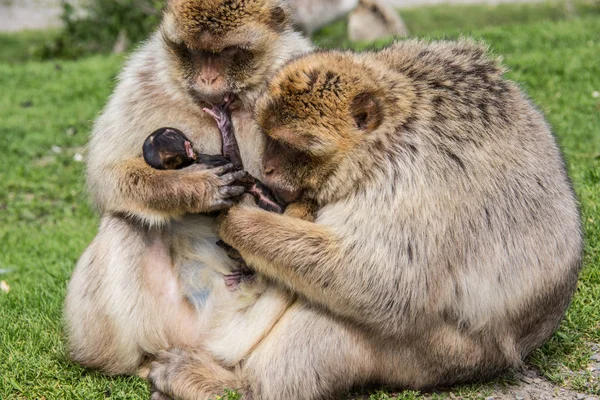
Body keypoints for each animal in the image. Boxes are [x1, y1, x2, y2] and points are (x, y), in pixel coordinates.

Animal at [63, 0, 312, 378]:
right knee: (125, 219)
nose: (207, 79)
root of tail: (207, 335)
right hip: (166, 323)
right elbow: (107, 174)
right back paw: (127, 364)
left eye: (225, 53)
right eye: (193, 52)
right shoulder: (145, 77)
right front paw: (197, 187)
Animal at [145, 39, 580, 400]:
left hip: (439, 357)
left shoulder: (414, 177)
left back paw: (235, 386)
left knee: (340, 311)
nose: (266, 169)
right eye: (269, 137)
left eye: (292, 148)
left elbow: (383, 283)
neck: (388, 131)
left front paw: (235, 219)